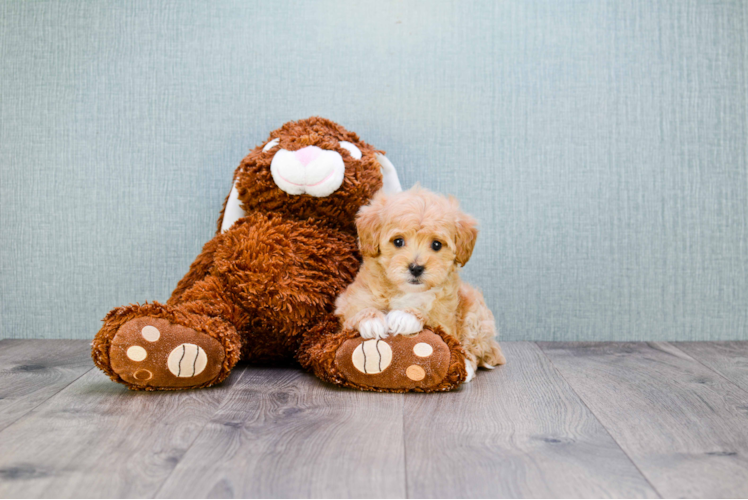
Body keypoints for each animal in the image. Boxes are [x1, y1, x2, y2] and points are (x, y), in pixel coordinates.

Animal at [334, 186, 506, 380]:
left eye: (436, 245)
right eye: (398, 241)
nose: (416, 268)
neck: (407, 291)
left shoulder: (445, 316)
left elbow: (433, 317)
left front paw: (406, 316)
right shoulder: (349, 300)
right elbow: (356, 309)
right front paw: (370, 320)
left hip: (476, 315)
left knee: (473, 349)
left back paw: (466, 368)